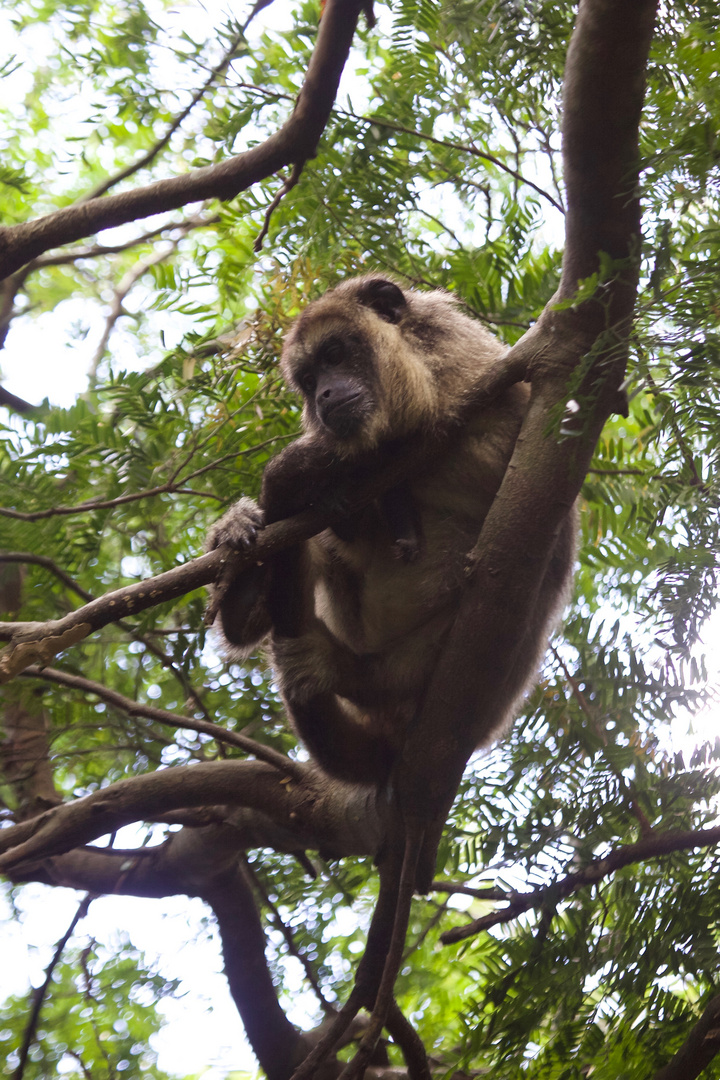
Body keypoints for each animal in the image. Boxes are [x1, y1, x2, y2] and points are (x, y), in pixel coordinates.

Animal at [205, 278, 578, 786]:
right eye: (308, 381)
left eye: (335, 354)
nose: (323, 396)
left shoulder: (465, 368)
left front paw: (318, 470)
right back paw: (244, 595)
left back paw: (347, 670)